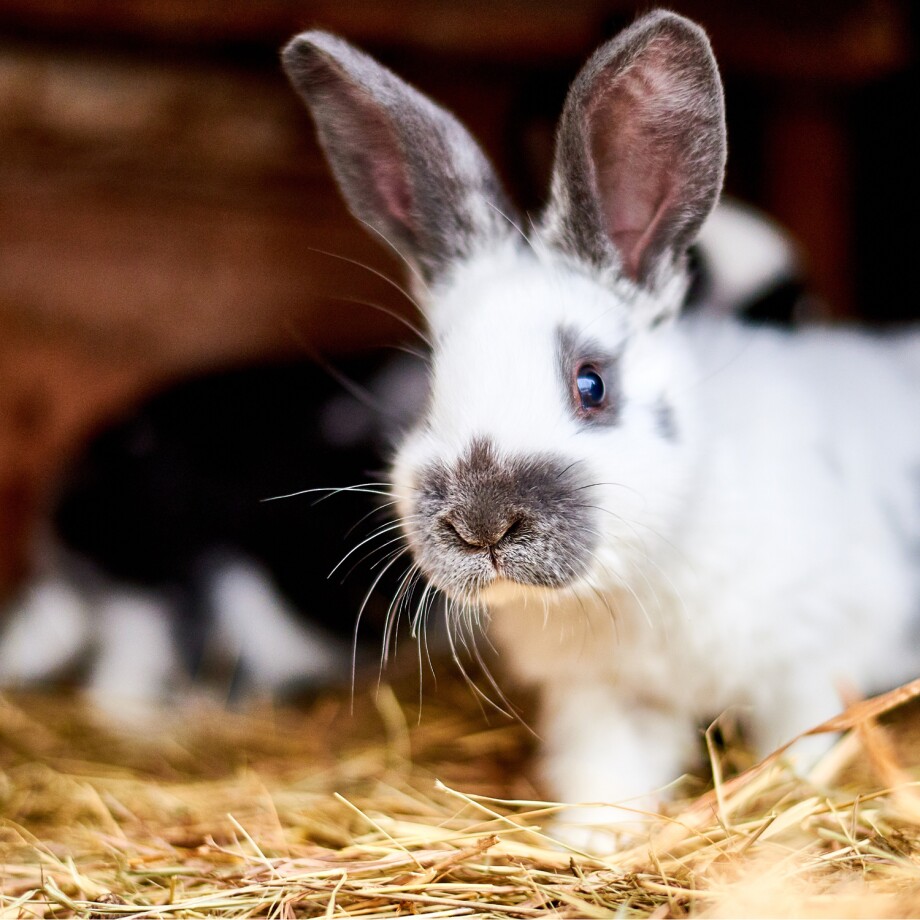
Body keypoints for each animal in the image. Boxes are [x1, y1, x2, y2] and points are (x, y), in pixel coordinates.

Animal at [282, 9, 920, 848]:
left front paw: (786, 814)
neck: (632, 577)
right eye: (432, 390)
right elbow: (608, 779)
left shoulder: (810, 664)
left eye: (592, 385)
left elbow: (800, 750)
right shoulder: (603, 700)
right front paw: (593, 842)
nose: (482, 524)